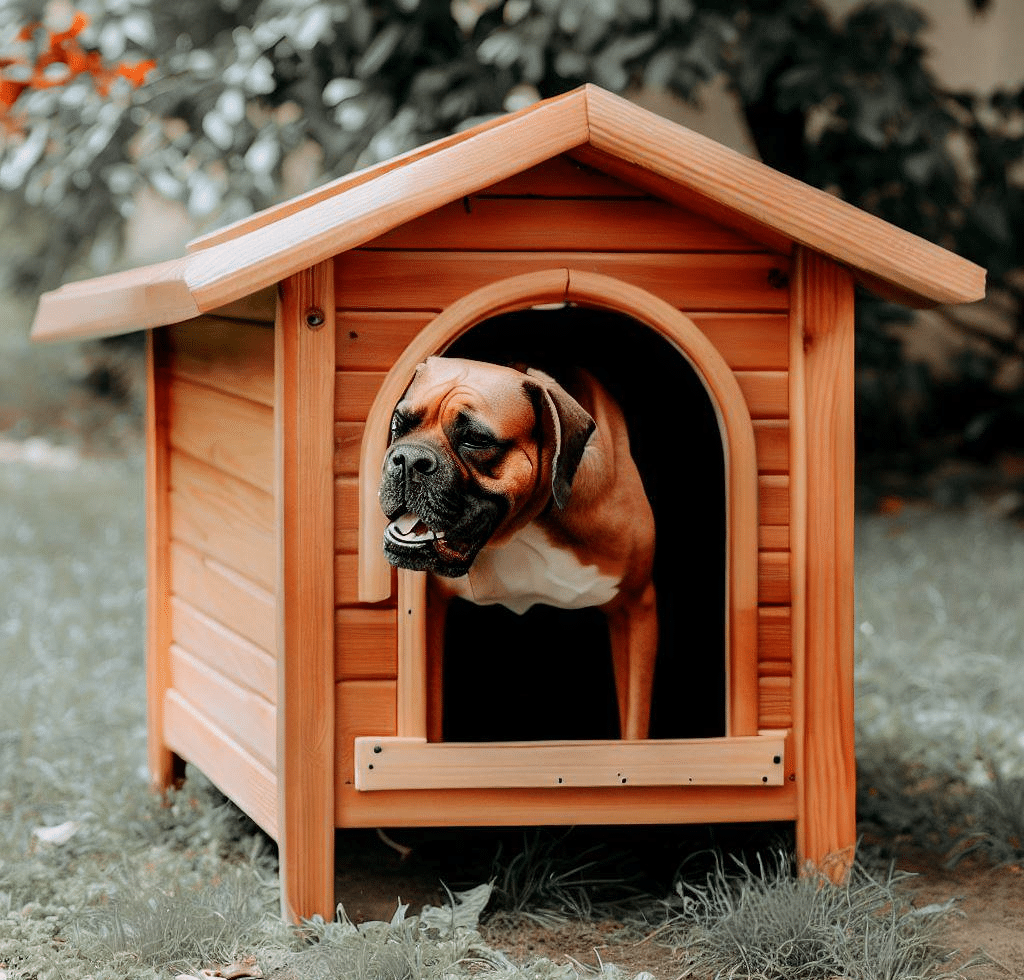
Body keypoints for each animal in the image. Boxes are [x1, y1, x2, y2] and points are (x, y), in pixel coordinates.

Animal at [376, 356, 655, 737]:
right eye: (399, 424)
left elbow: (635, 728)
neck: (523, 530)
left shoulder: (635, 607)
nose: (407, 458)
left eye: (476, 439)